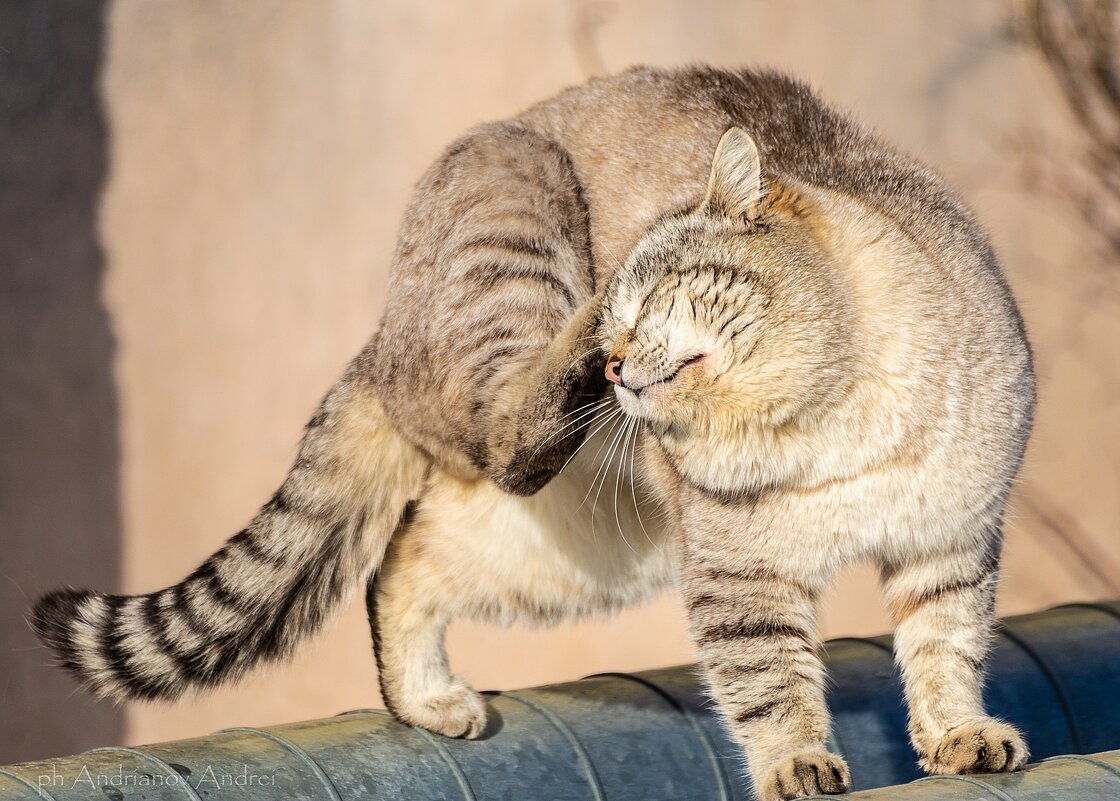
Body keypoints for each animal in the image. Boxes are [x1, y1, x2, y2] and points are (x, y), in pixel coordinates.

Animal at [35, 65, 1030, 797]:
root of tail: (384, 336)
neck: (834, 416)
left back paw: (427, 698)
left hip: (587, 544)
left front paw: (959, 735)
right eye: (628, 314)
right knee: (499, 445)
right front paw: (797, 764)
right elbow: (771, 683)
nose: (617, 361)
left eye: (653, 300)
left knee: (406, 555)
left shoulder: (951, 540)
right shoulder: (739, 575)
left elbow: (945, 648)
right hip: (521, 204)